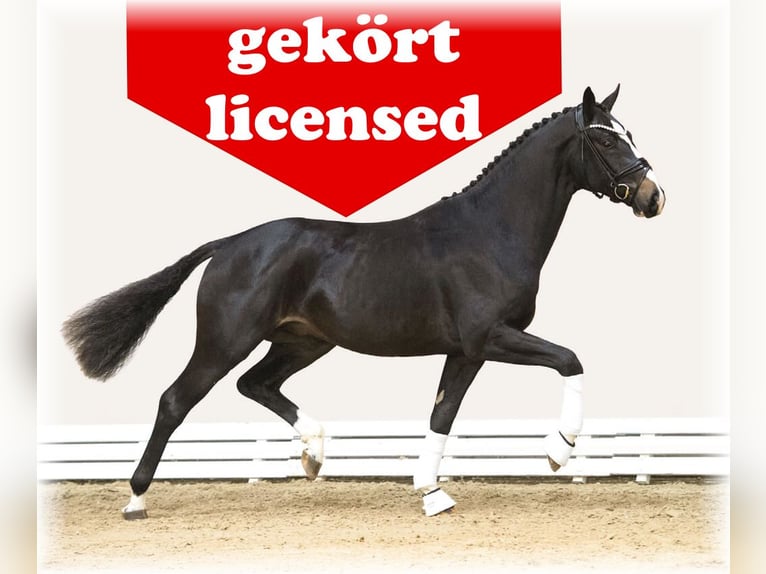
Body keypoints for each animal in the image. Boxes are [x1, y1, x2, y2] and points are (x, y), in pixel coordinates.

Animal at [62, 86, 666, 519]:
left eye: (629, 133)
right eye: (606, 141)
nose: (653, 197)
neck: (491, 232)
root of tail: (229, 244)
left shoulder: (465, 351)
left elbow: (443, 412)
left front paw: (432, 493)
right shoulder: (489, 337)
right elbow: (570, 360)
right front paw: (558, 449)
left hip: (304, 343)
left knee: (256, 384)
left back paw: (314, 452)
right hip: (225, 341)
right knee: (175, 400)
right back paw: (136, 499)